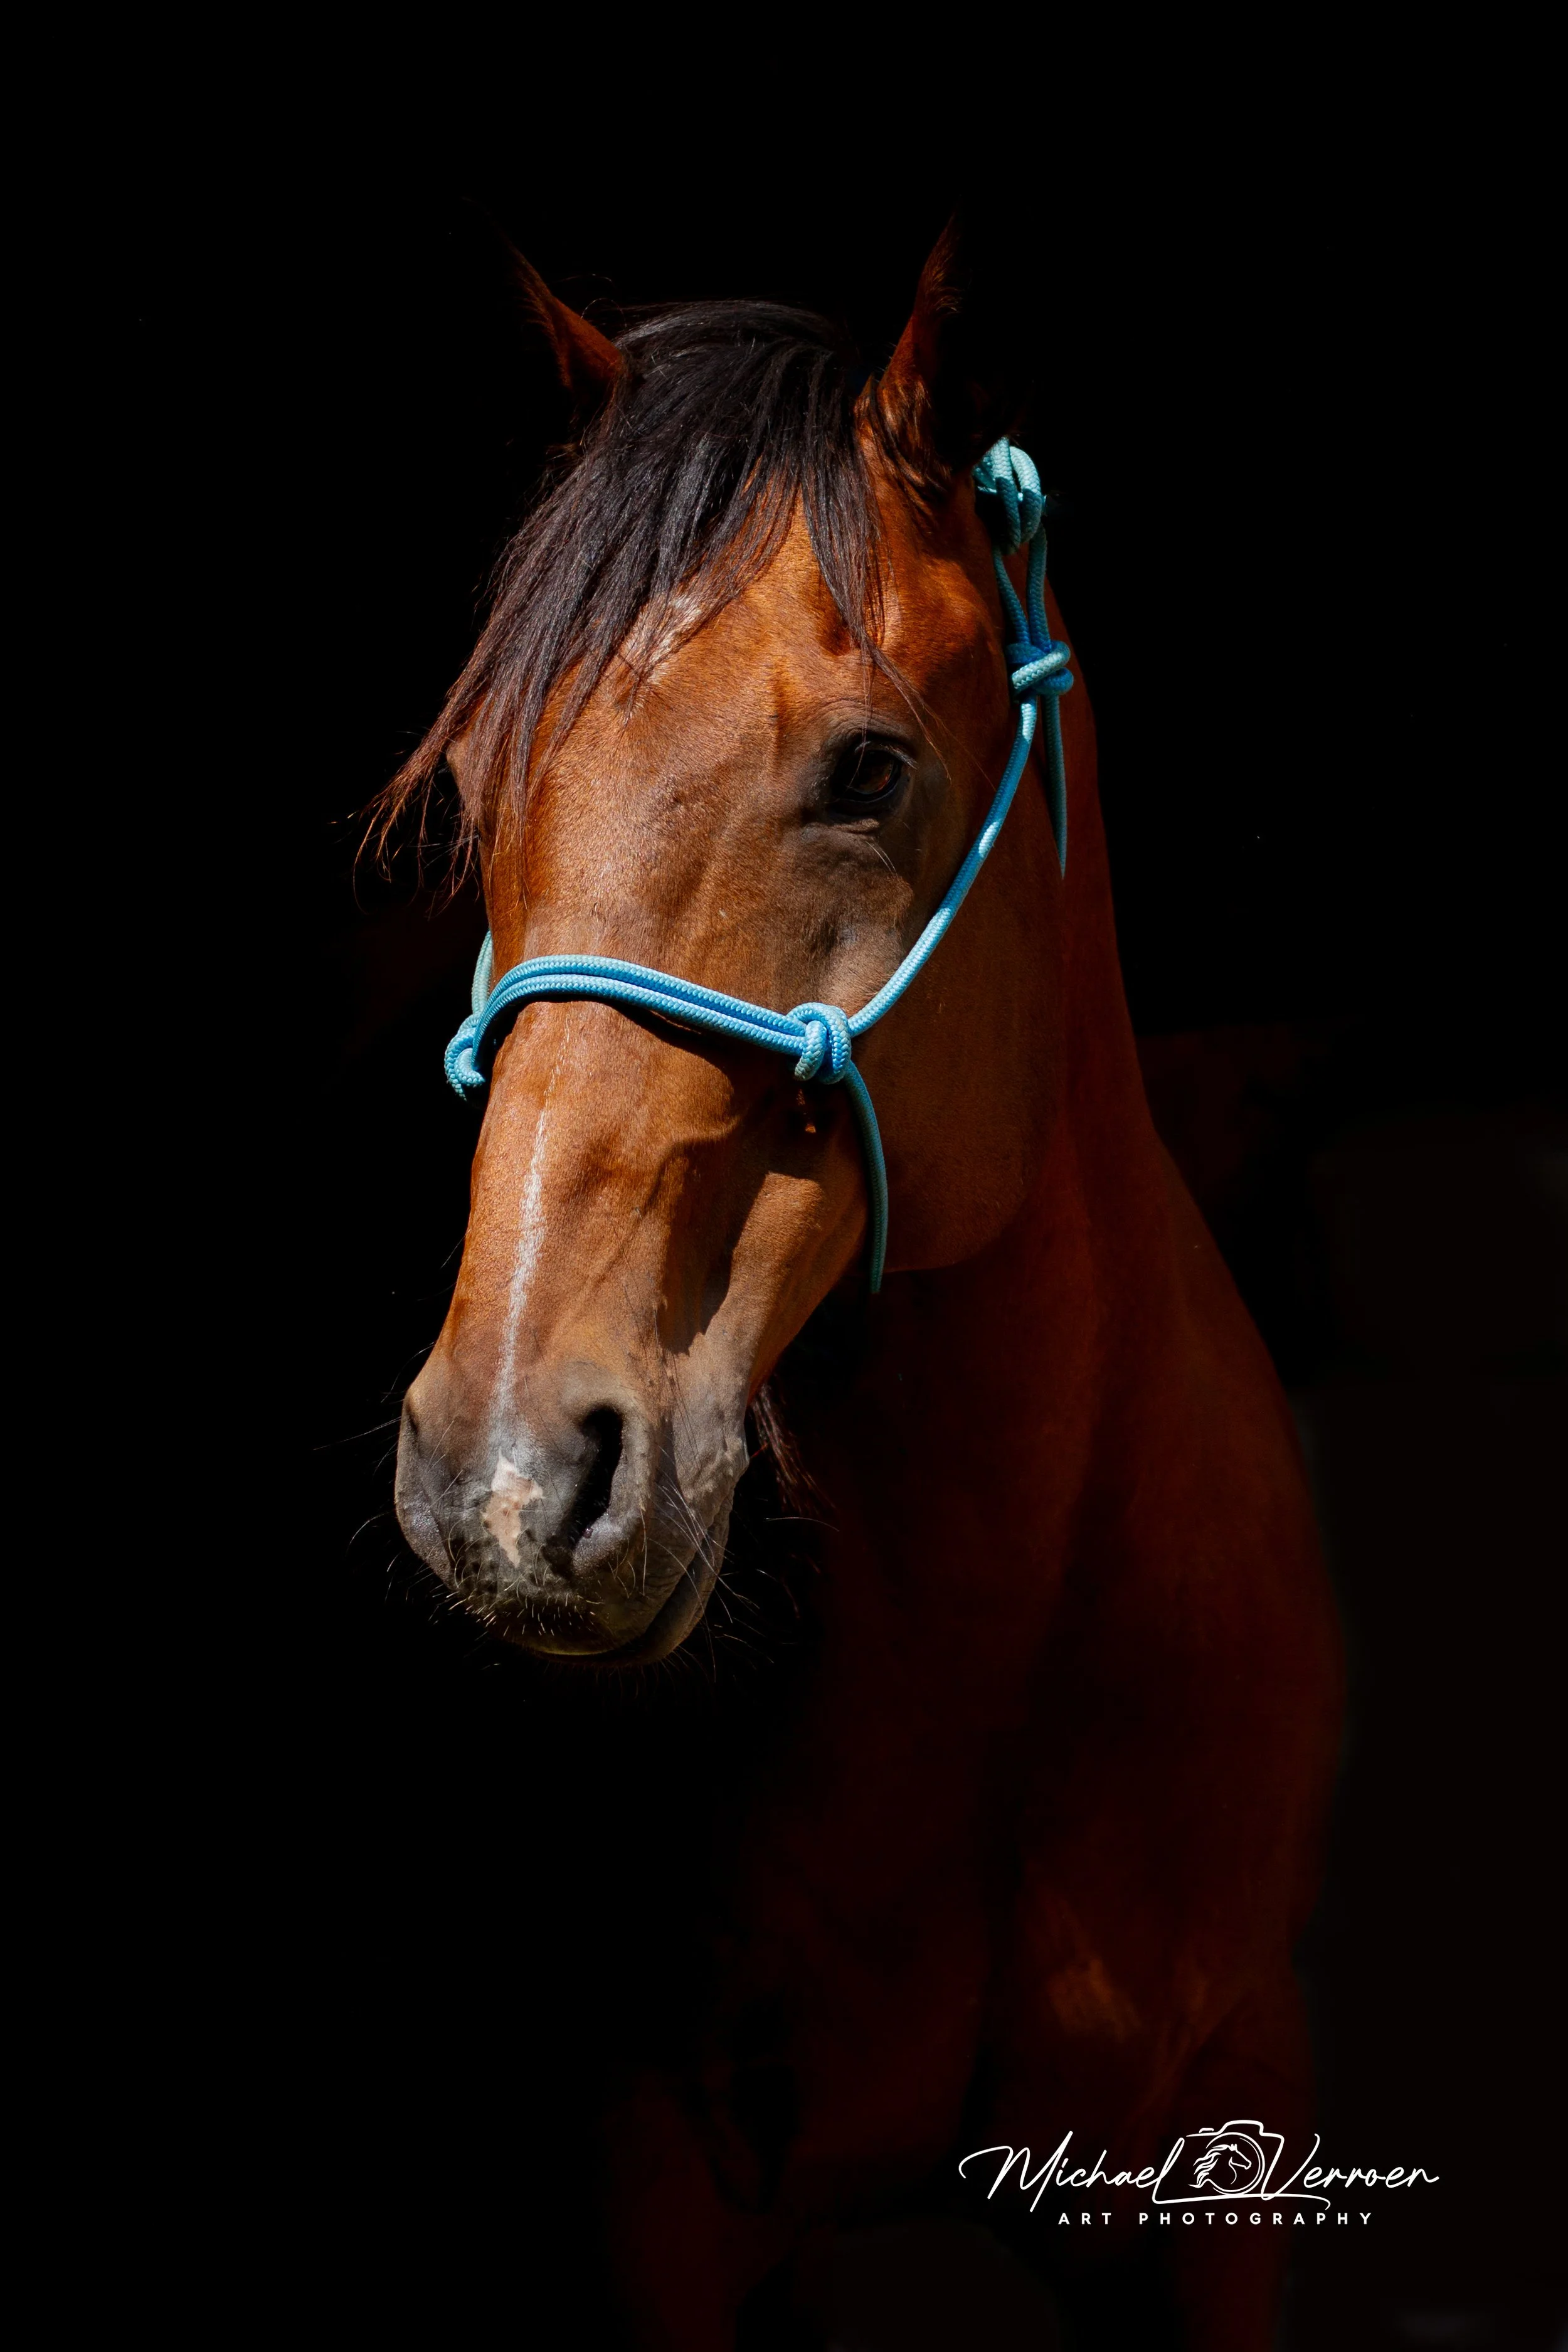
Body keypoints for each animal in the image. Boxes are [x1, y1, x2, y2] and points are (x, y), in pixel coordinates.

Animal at [383, 215, 1343, 2350]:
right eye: (473, 787)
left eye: (864, 767)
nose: (508, 1476)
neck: (1016, 1640)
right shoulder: (655, 2175)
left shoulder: (1230, 2149)